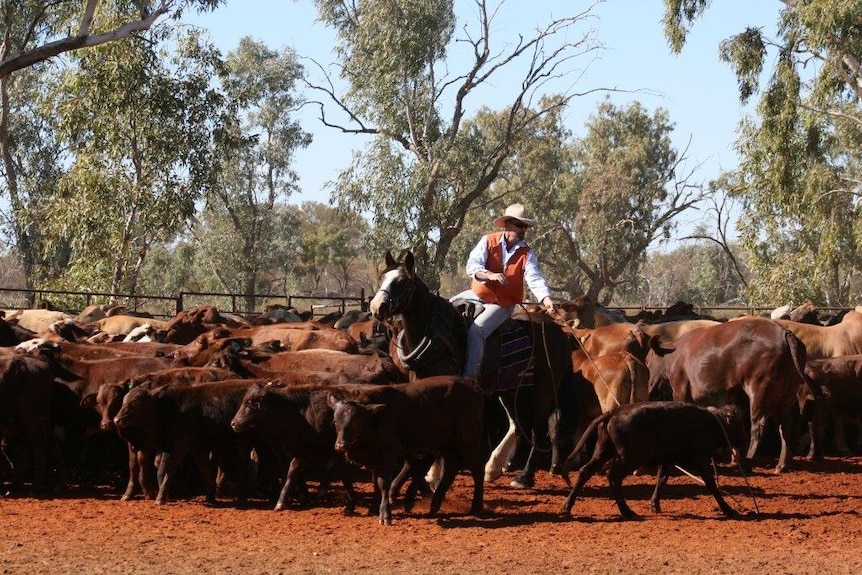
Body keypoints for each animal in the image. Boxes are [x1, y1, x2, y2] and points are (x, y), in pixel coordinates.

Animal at [370, 250, 576, 488]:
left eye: (402, 282)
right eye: (382, 278)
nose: (376, 307)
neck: (436, 335)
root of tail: (560, 332)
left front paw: (434, 474)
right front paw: (432, 474)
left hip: (543, 391)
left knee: (539, 430)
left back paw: (524, 477)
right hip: (511, 390)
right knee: (517, 424)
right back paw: (496, 467)